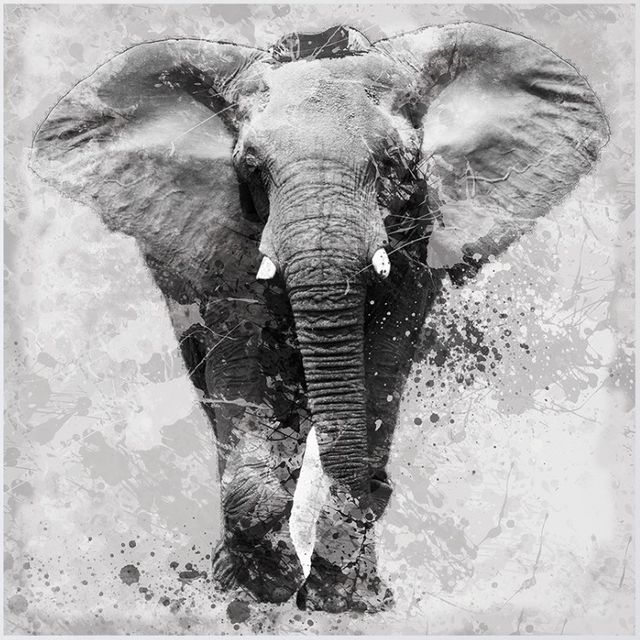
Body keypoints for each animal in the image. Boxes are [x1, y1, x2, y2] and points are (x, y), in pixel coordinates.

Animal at [30, 22, 608, 613]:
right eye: (251, 167)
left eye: (395, 163)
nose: (380, 490)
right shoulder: (224, 232)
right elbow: (239, 357)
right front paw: (260, 583)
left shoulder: (418, 228)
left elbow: (382, 358)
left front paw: (344, 596)